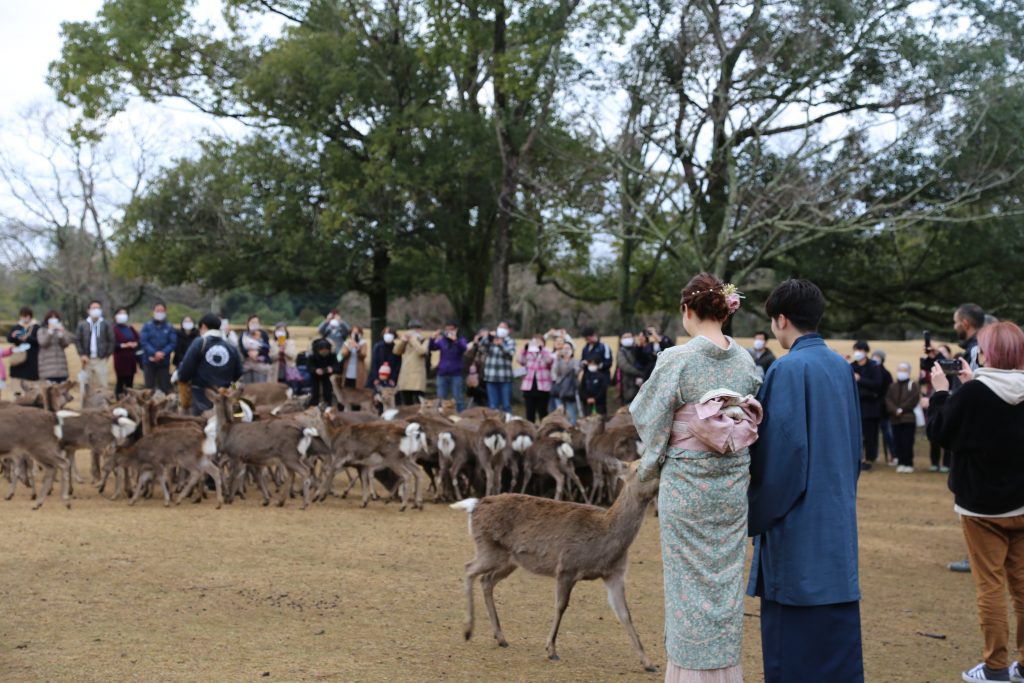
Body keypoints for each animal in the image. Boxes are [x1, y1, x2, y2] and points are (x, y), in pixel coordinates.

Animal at [452, 458, 659, 671]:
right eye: (638, 468)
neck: (605, 544)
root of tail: (475, 505)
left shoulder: (615, 573)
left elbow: (624, 613)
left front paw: (648, 662)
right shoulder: (567, 566)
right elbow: (561, 606)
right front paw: (551, 649)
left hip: (509, 560)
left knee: (486, 580)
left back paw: (500, 638)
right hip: (489, 549)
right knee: (469, 569)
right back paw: (468, 630)